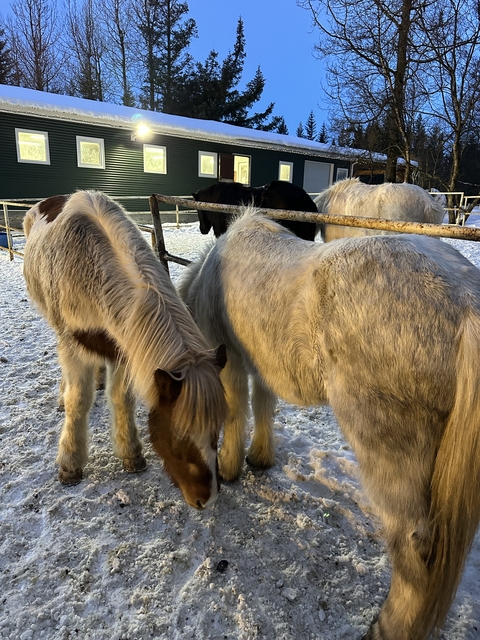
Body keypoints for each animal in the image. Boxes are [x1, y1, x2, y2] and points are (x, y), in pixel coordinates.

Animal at [23, 191, 227, 510]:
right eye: (179, 436)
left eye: (217, 429)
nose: (207, 499)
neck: (90, 268)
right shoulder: (73, 344)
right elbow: (78, 401)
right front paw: (70, 466)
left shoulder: (122, 349)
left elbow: (122, 399)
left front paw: (132, 455)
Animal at [179, 207, 480, 638]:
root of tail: (466, 302)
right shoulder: (262, 364)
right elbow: (263, 404)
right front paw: (260, 458)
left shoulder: (232, 362)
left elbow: (237, 412)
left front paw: (230, 467)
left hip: (389, 450)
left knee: (416, 551)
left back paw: (385, 628)